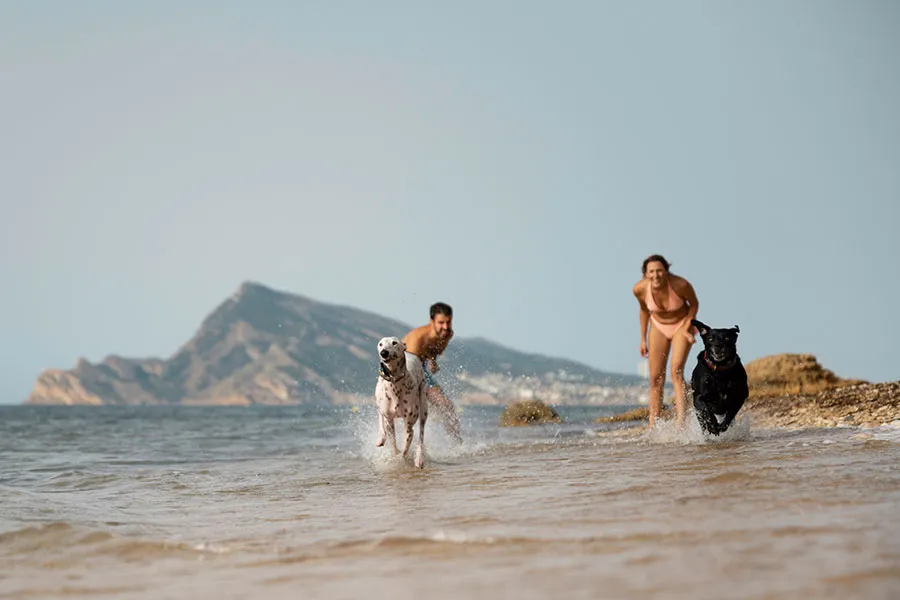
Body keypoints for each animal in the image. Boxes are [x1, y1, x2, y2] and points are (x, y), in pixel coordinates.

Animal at [372, 336, 428, 466]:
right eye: (380, 344)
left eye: (394, 343)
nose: (384, 352)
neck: (394, 382)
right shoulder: (388, 418)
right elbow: (393, 442)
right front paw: (395, 454)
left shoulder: (409, 424)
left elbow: (405, 448)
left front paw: (402, 459)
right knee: (380, 416)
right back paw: (381, 438)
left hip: (423, 405)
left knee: (421, 433)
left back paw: (419, 459)